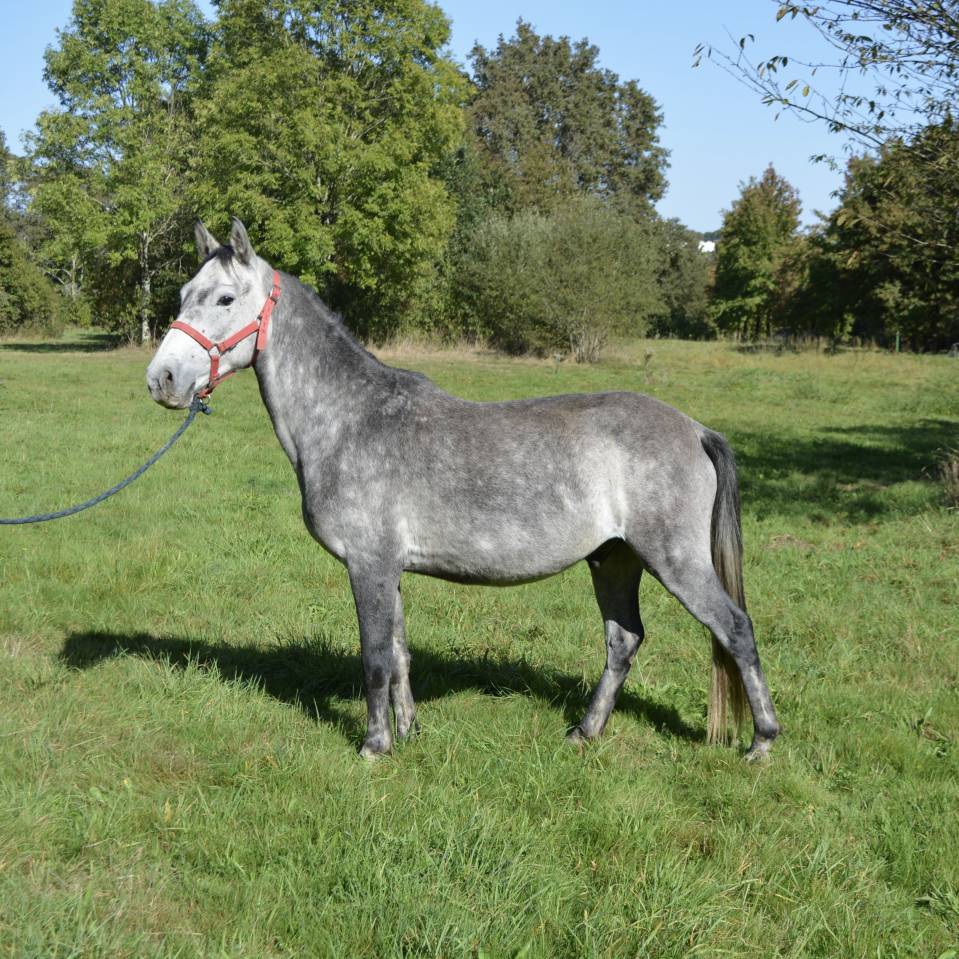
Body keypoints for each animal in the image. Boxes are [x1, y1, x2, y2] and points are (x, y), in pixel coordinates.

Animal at [146, 218, 780, 761]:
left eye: (225, 300)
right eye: (183, 293)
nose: (162, 380)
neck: (350, 417)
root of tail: (694, 428)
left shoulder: (368, 565)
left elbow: (374, 658)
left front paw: (373, 746)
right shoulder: (389, 569)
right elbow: (400, 655)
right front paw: (408, 733)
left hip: (674, 560)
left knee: (736, 629)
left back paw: (762, 742)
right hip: (614, 559)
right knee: (623, 641)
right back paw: (585, 731)